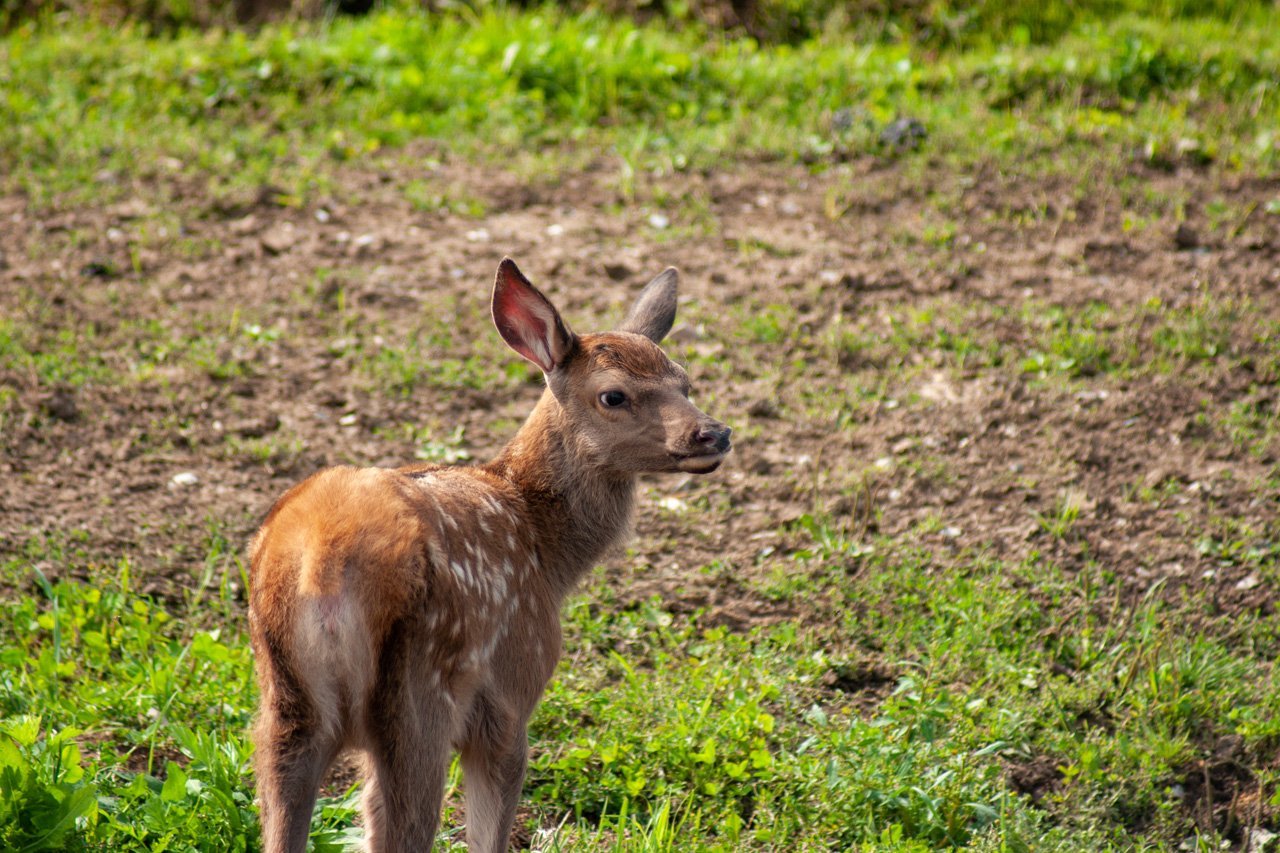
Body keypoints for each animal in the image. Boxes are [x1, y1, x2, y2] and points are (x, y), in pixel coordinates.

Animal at [248, 258, 732, 850]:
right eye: (613, 396)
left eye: (684, 379)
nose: (714, 433)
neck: (547, 552)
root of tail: (322, 561)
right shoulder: (512, 692)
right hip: (420, 695)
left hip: (284, 705)